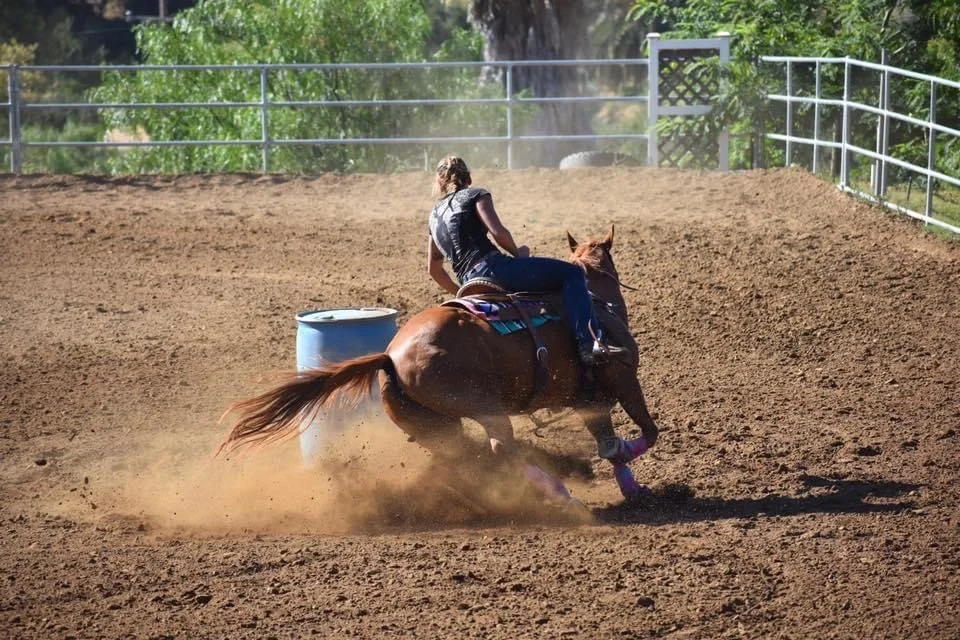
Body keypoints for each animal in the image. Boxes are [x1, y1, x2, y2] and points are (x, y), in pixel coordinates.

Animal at [217, 227, 660, 505]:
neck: (595, 301)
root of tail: (390, 357)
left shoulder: (589, 400)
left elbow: (608, 445)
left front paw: (633, 488)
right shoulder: (623, 377)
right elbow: (647, 432)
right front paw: (629, 460)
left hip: (434, 426)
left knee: (467, 459)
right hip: (484, 406)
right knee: (499, 449)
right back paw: (560, 494)